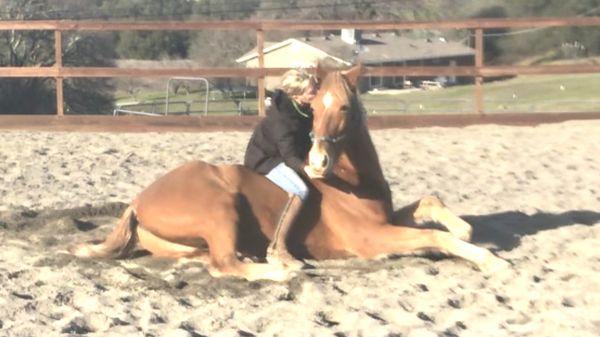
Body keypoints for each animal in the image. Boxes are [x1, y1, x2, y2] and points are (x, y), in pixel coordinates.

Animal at [72, 64, 508, 280]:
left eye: (344, 107)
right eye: (313, 108)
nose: (317, 163)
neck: (351, 183)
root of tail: (137, 201)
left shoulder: (385, 219)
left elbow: (431, 206)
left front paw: (465, 229)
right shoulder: (371, 236)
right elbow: (435, 237)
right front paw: (489, 260)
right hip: (220, 208)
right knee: (225, 266)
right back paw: (282, 269)